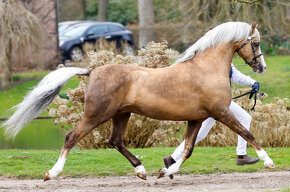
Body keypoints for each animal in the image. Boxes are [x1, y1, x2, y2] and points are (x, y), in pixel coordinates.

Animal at [2, 21, 276, 181]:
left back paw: (141, 170)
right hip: (96, 115)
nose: (261, 67)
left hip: (121, 114)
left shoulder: (197, 118)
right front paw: (269, 162)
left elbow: (188, 149)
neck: (205, 69)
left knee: (115, 141)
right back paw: (52, 173)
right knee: (72, 137)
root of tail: (92, 71)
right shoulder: (220, 112)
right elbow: (247, 133)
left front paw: (166, 170)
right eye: (256, 42)